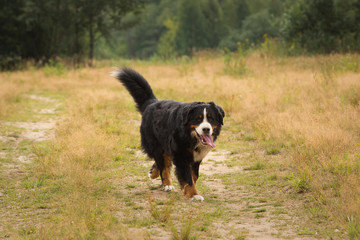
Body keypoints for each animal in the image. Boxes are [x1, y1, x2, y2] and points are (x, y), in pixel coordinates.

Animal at [112, 68, 225, 202]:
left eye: (211, 119)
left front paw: (188, 190)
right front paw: (194, 194)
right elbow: (187, 177)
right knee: (163, 165)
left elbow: (194, 176)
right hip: (156, 144)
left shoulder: (196, 157)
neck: (190, 136)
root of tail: (152, 103)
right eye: (198, 119)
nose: (206, 129)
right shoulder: (181, 155)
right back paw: (167, 185)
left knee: (161, 162)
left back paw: (153, 173)